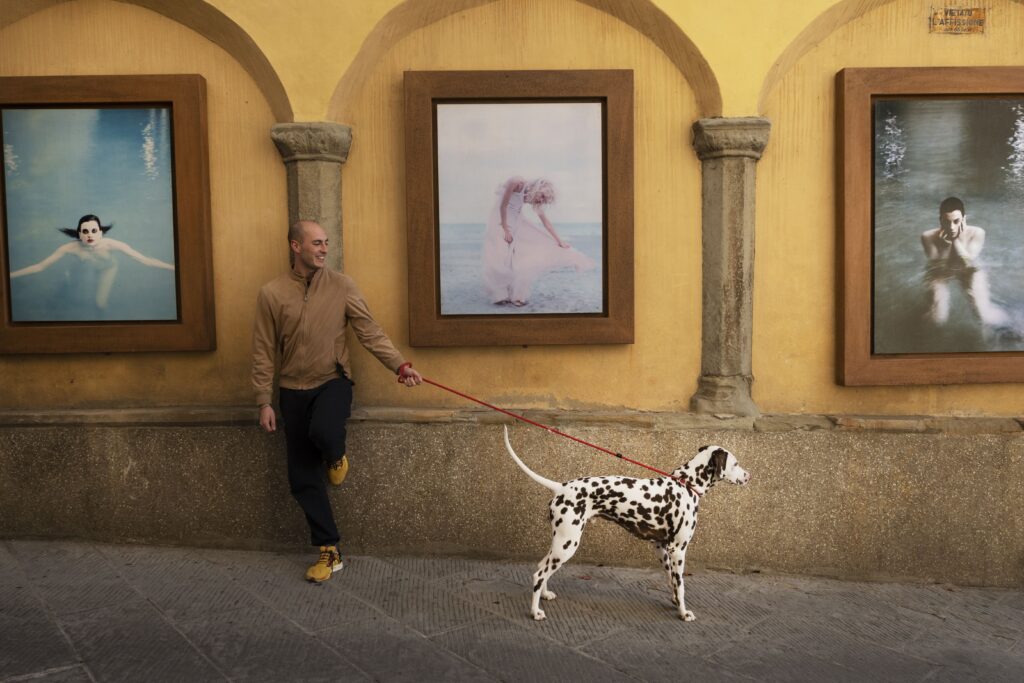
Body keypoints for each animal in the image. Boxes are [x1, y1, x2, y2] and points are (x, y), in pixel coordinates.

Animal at [505, 430, 753, 622]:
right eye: (735, 463)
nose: (749, 476)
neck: (686, 485)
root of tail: (561, 487)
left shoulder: (662, 548)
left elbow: (672, 581)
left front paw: (674, 602)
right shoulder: (678, 550)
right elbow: (681, 585)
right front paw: (683, 613)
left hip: (560, 543)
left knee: (541, 568)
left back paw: (545, 595)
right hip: (567, 544)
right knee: (538, 574)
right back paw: (535, 612)